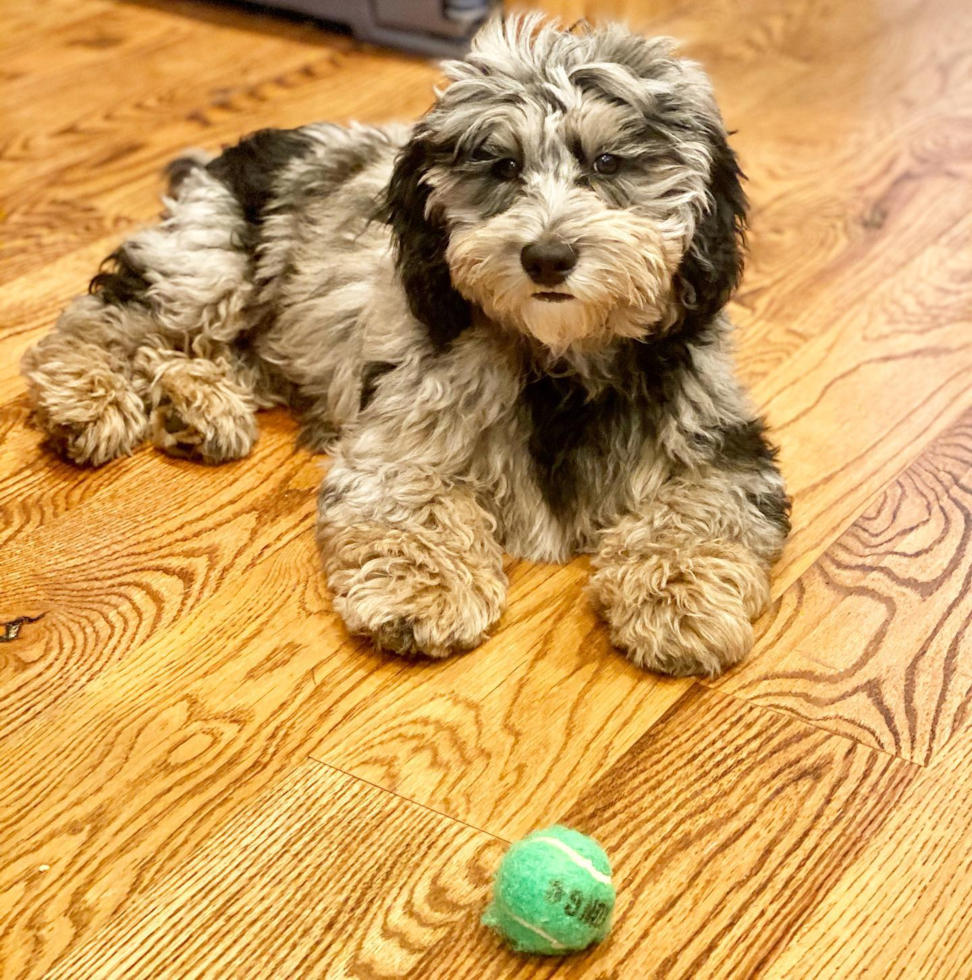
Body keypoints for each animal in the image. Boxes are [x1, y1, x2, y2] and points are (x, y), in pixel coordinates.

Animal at [20, 17, 788, 672]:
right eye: (500, 167)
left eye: (609, 162)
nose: (547, 257)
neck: (558, 360)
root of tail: (230, 155)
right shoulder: (404, 432)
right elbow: (417, 502)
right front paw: (423, 592)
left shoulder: (719, 446)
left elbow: (699, 515)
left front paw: (679, 598)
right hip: (210, 263)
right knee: (111, 319)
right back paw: (88, 398)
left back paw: (197, 407)